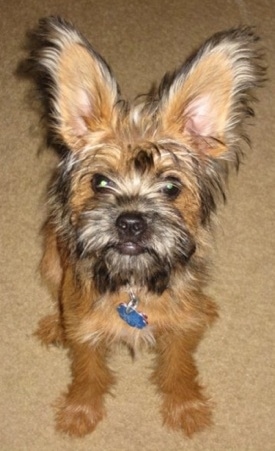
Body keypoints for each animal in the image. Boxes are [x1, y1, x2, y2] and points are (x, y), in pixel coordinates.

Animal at [27, 17, 266, 438]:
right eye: (99, 182)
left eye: (171, 186)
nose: (131, 221)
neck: (134, 283)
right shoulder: (86, 333)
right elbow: (88, 372)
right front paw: (80, 410)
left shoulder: (180, 333)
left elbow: (179, 368)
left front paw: (187, 407)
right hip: (50, 259)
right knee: (57, 294)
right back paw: (54, 324)